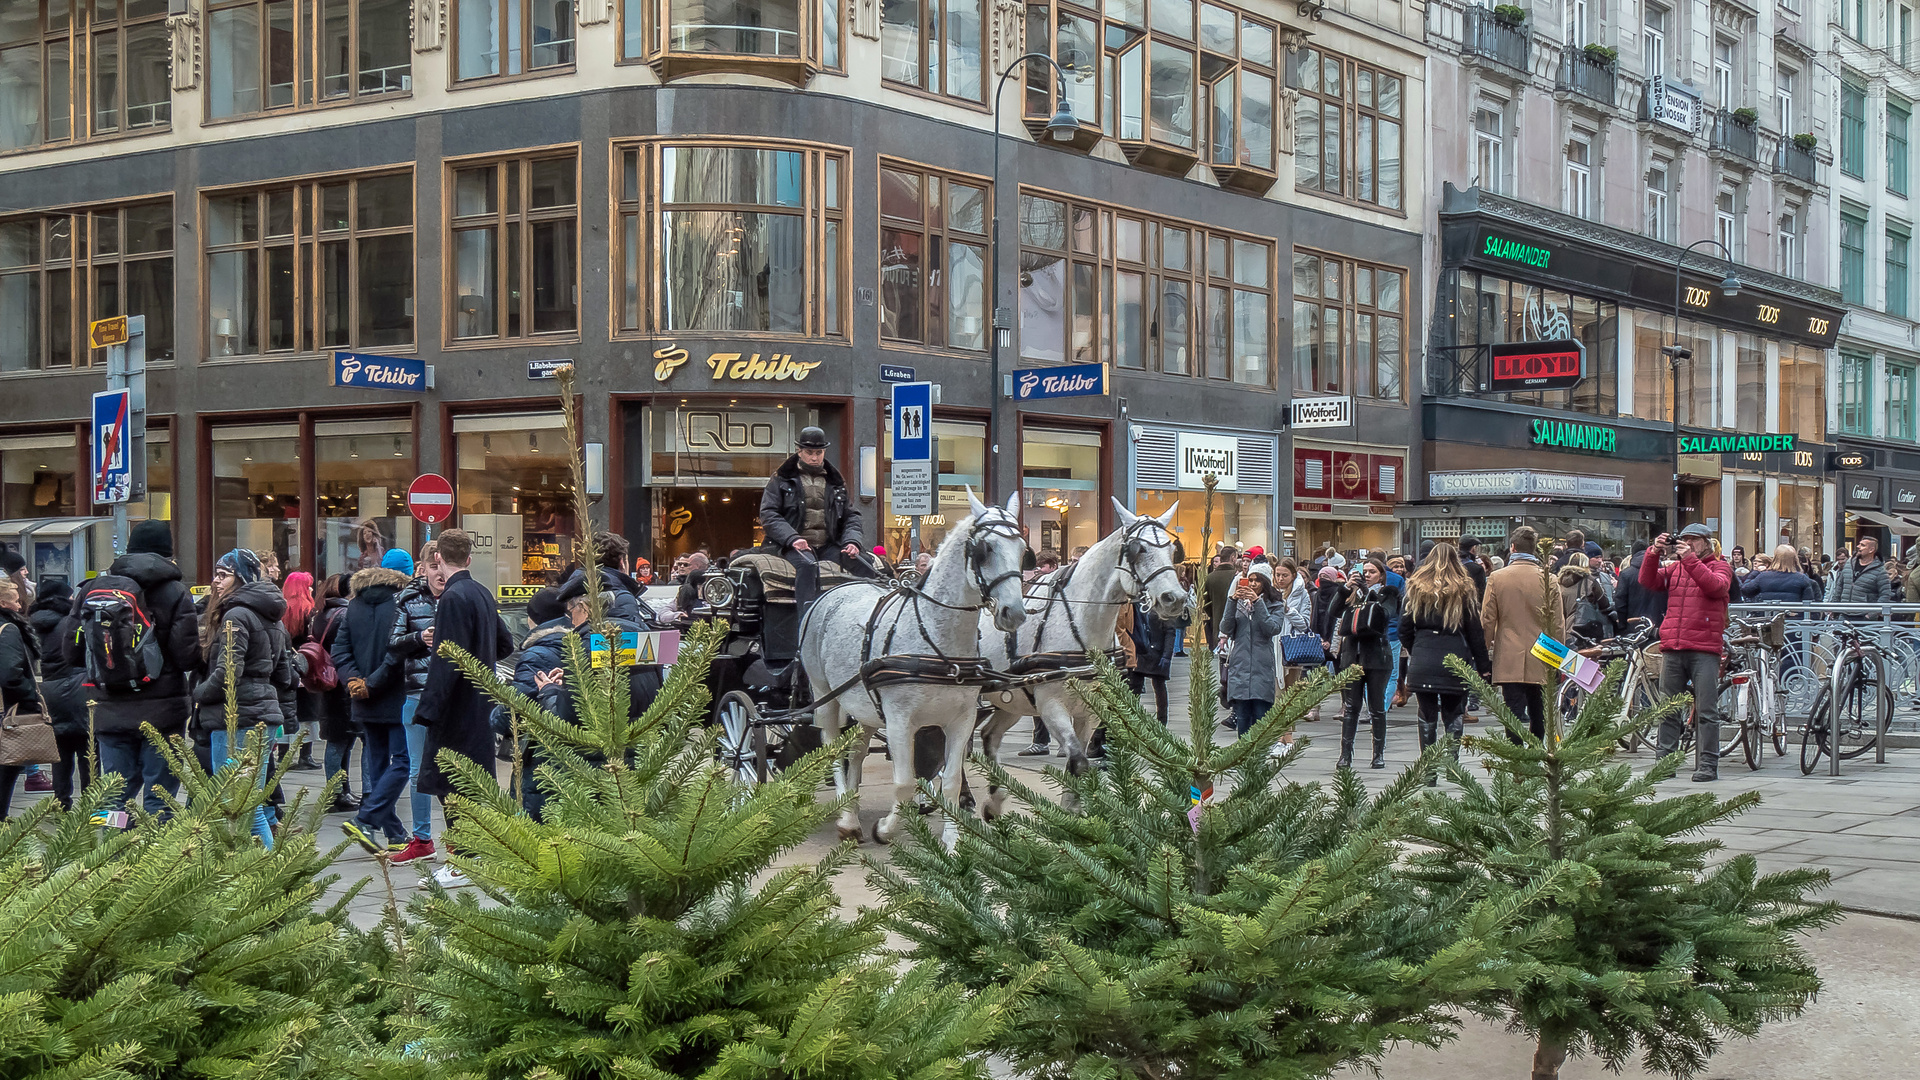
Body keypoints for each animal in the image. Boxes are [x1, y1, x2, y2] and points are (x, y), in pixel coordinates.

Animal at [798, 490, 1036, 849]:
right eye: (985, 549)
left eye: (1023, 550)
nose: (1015, 613)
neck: (939, 640)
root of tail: (836, 589)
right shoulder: (899, 721)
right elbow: (905, 782)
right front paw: (886, 829)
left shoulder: (962, 720)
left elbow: (950, 781)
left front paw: (952, 843)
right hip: (824, 694)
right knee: (832, 746)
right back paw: (845, 817)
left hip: (865, 708)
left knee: (856, 752)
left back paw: (852, 808)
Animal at [983, 495, 1190, 807]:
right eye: (1138, 550)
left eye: (1171, 549)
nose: (1174, 598)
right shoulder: (1050, 704)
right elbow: (1078, 760)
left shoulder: (1091, 709)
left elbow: (1078, 764)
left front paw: (1074, 810)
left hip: (1008, 700)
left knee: (987, 735)